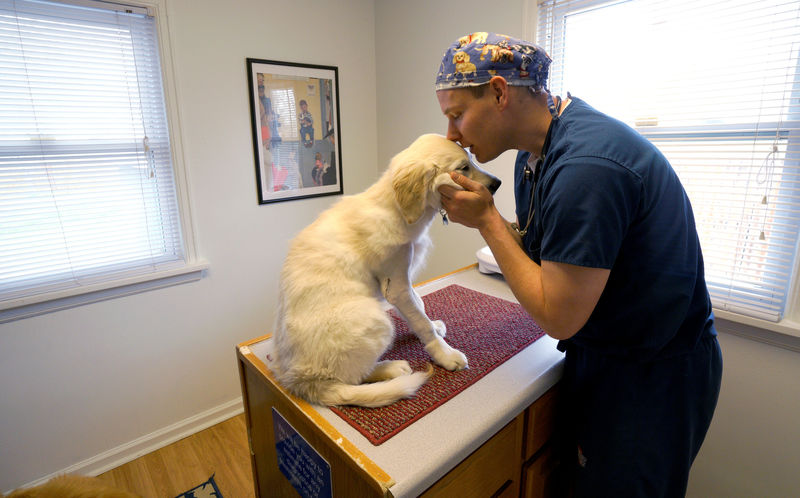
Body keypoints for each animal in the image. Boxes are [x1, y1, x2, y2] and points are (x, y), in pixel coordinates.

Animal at [276, 134, 500, 406]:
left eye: (471, 159)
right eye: (463, 167)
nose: (498, 183)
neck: (395, 209)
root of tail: (302, 382)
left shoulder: (404, 278)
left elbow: (419, 306)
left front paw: (435, 327)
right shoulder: (396, 284)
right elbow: (421, 321)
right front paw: (445, 354)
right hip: (376, 320)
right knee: (354, 378)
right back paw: (391, 368)